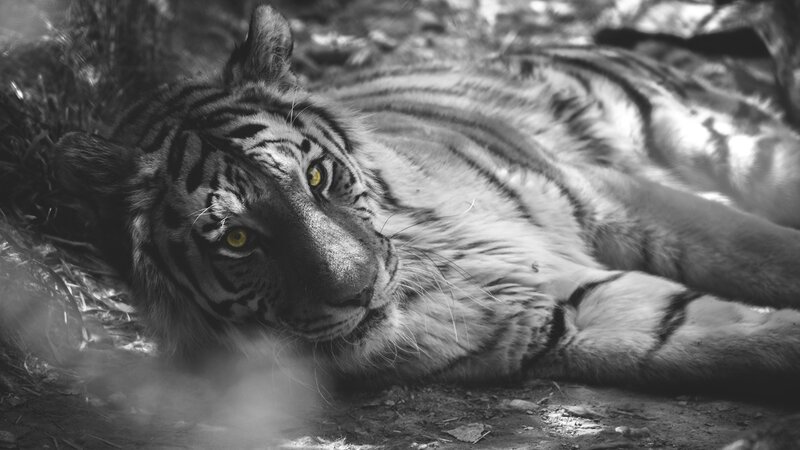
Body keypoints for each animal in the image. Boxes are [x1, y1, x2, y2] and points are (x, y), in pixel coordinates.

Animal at [54, 5, 800, 389]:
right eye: (238, 239)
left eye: (315, 178)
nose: (359, 293)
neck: (430, 259)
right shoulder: (563, 316)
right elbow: (729, 335)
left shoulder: (607, 196)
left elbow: (769, 253)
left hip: (717, 144)